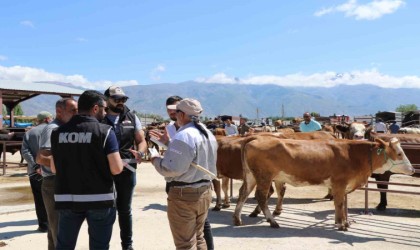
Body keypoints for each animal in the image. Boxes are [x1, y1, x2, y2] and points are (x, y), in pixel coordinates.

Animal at [235, 137, 416, 230]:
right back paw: (272, 221)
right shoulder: (339, 183)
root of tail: (255, 139)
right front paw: (342, 224)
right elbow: (339, 203)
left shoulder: (341, 186)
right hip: (264, 176)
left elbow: (341, 204)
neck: (354, 155)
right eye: (399, 153)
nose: (413, 169)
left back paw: (237, 219)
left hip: (251, 176)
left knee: (243, 193)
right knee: (261, 197)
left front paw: (342, 221)